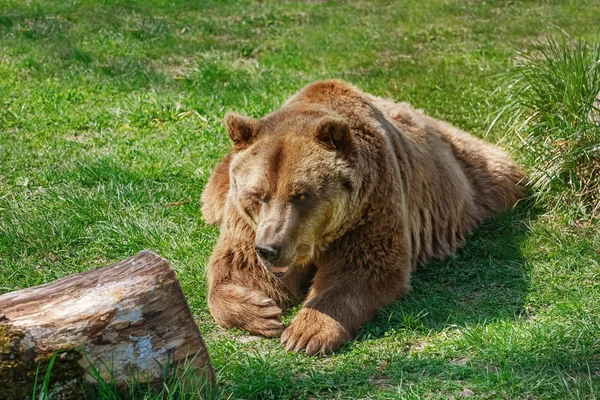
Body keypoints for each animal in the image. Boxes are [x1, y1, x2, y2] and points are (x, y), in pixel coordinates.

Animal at [202, 79, 524, 354]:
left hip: (474, 172)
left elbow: (365, 269)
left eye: (302, 195)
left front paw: (305, 333)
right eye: (258, 195)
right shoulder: (247, 222)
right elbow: (238, 266)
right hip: (219, 186)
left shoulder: (372, 205)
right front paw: (262, 310)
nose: (270, 249)